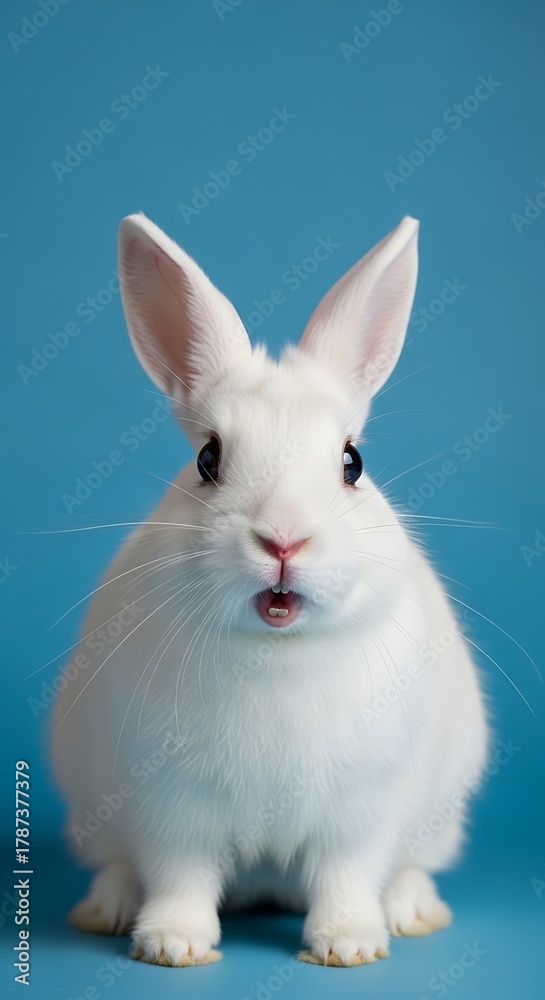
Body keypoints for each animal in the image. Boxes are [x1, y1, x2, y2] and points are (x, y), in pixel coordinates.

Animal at [51, 213, 488, 968]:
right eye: (207, 459)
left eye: (352, 462)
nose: (284, 541)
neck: (276, 649)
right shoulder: (172, 805)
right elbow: (180, 874)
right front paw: (172, 946)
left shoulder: (360, 809)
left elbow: (348, 873)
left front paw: (348, 947)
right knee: (120, 863)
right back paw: (105, 909)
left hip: (439, 815)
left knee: (409, 865)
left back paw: (411, 911)